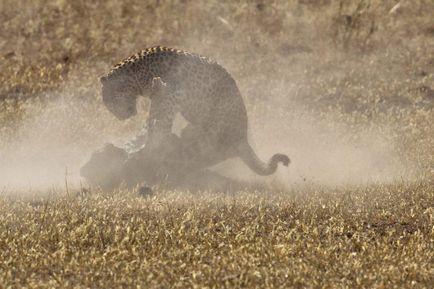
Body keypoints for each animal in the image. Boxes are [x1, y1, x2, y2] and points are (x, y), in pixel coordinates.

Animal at [100, 45, 290, 176]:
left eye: (108, 102)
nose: (120, 118)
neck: (136, 75)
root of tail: (243, 138)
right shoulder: (159, 96)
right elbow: (153, 119)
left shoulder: (171, 95)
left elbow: (161, 121)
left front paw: (151, 143)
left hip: (217, 125)